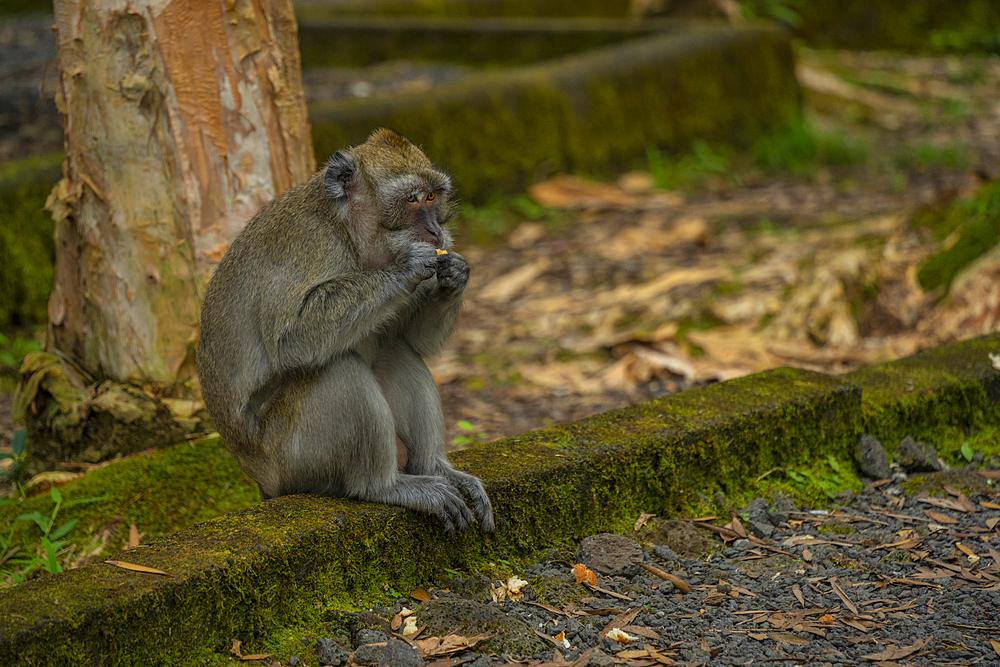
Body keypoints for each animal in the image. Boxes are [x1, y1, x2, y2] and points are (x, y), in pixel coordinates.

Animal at [197, 128, 494, 532]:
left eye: (432, 197)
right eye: (412, 199)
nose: (436, 231)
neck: (348, 233)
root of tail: (264, 483)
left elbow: (411, 340)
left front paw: (456, 273)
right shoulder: (307, 244)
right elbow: (291, 340)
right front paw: (407, 267)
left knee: (393, 351)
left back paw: (434, 468)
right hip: (293, 460)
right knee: (339, 369)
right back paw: (382, 486)